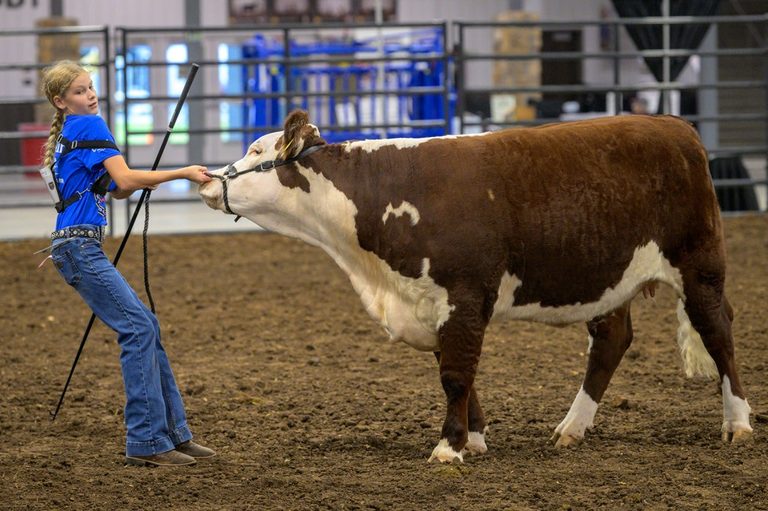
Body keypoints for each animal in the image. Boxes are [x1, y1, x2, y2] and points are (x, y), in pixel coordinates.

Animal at [199, 110, 753, 463]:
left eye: (255, 149)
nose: (206, 179)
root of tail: (673, 125)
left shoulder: (464, 295)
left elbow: (456, 375)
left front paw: (449, 447)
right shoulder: (428, 301)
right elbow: (458, 371)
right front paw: (475, 438)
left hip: (699, 263)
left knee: (718, 332)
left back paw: (738, 423)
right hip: (610, 279)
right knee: (612, 341)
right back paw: (572, 429)